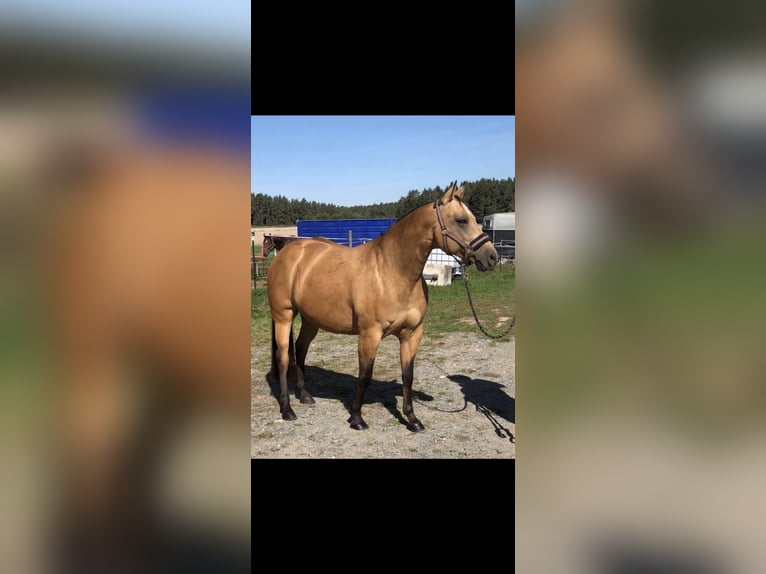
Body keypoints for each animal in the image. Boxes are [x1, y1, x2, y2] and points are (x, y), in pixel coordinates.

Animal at [268, 181, 500, 432]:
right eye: (461, 220)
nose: (491, 257)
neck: (392, 271)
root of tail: (288, 251)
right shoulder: (370, 334)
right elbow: (365, 375)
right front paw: (357, 418)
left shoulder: (412, 334)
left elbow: (407, 375)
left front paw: (412, 419)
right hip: (283, 317)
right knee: (284, 358)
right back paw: (287, 409)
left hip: (311, 320)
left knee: (300, 349)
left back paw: (305, 396)